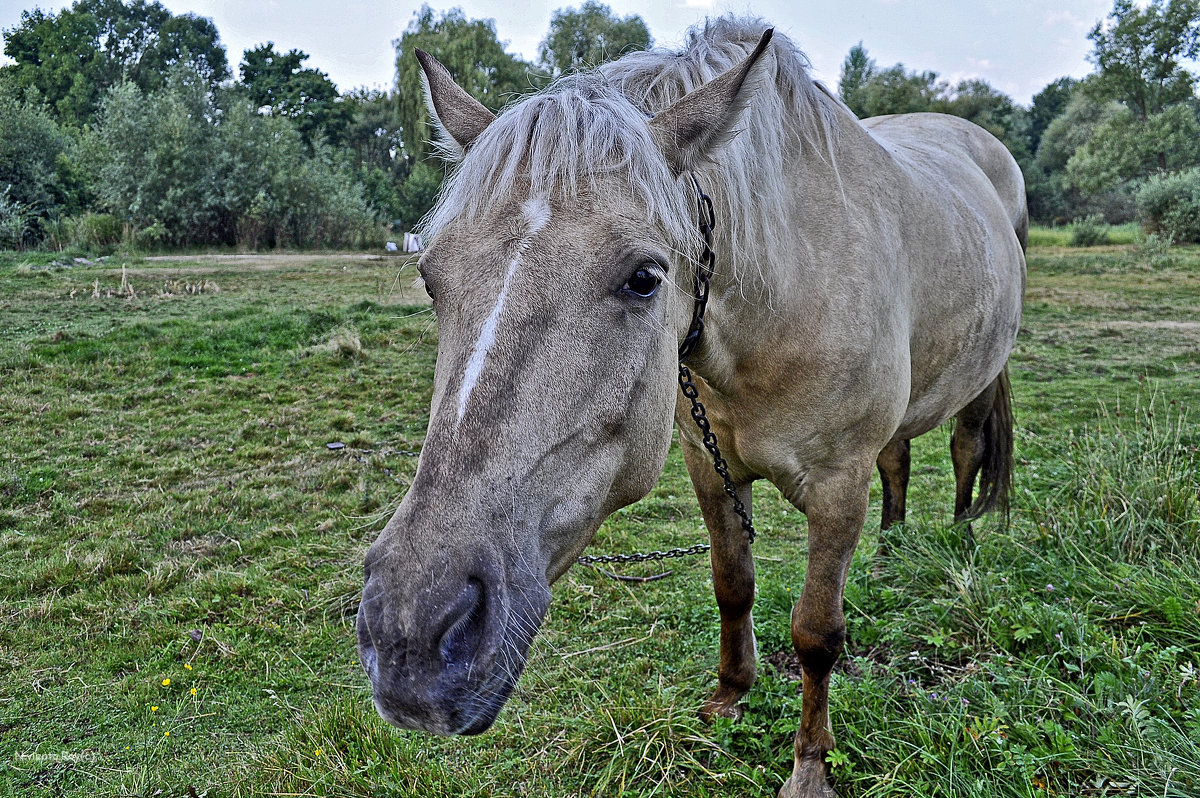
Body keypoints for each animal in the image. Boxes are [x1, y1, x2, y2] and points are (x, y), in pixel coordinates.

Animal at [352, 18, 1022, 796]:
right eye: (431, 277)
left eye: (645, 278)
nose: (410, 630)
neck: (784, 287)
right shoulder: (709, 463)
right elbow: (733, 584)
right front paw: (729, 697)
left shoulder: (837, 485)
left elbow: (816, 633)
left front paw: (809, 765)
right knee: (901, 460)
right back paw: (889, 552)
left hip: (982, 377)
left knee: (966, 449)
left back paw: (960, 539)